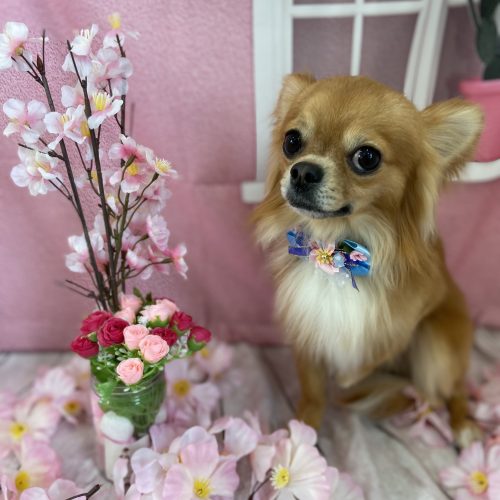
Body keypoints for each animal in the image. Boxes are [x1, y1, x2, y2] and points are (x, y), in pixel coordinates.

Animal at [252, 74, 483, 447]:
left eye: (367, 157)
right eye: (292, 141)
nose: (302, 171)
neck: (338, 251)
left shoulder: (411, 315)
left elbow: (378, 348)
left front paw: (348, 376)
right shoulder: (309, 323)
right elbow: (312, 392)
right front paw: (302, 432)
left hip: (438, 344)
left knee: (453, 388)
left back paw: (463, 425)